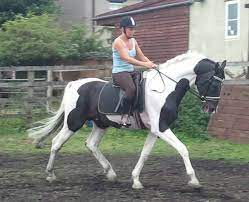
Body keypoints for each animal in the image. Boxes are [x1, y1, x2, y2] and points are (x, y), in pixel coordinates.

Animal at [28, 51, 227, 189]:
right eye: (214, 81)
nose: (211, 109)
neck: (166, 89)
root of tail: (73, 84)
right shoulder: (161, 128)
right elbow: (183, 149)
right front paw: (194, 180)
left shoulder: (155, 130)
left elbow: (145, 154)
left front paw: (136, 180)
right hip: (74, 122)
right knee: (56, 143)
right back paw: (50, 175)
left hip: (101, 124)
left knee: (91, 144)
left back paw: (110, 173)